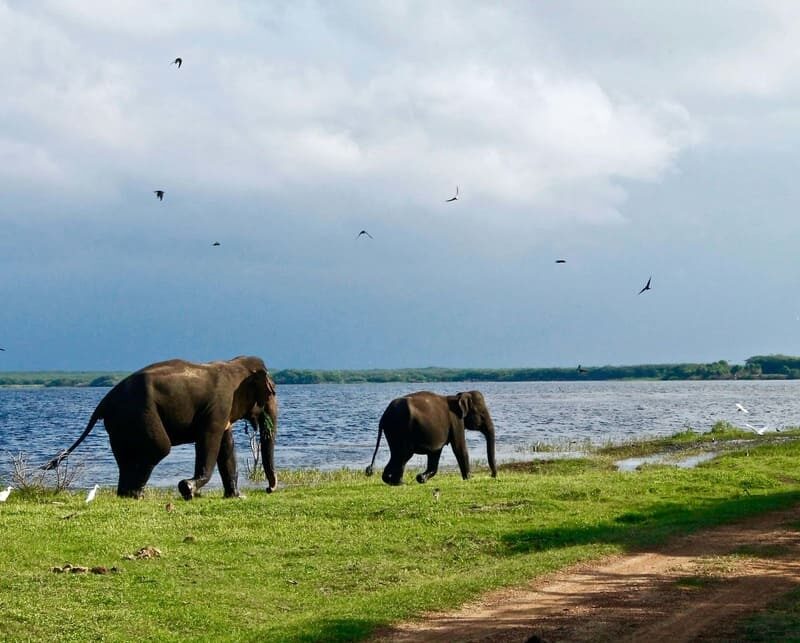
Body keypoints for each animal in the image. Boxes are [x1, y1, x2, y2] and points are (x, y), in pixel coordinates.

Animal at [42, 354, 278, 500]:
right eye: (272, 392)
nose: (269, 489)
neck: (234, 364)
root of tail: (104, 402)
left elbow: (226, 447)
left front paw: (236, 496)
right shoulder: (218, 407)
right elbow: (209, 441)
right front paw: (187, 489)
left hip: (120, 425)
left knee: (127, 457)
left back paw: (126, 495)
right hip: (140, 414)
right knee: (159, 448)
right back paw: (136, 495)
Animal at [366, 390, 496, 486]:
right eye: (482, 414)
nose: (492, 476)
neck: (458, 396)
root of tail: (384, 416)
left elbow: (435, 452)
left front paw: (421, 478)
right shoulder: (456, 421)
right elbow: (459, 448)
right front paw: (469, 478)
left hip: (393, 431)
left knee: (397, 454)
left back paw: (391, 481)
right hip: (401, 429)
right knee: (403, 455)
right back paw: (398, 483)